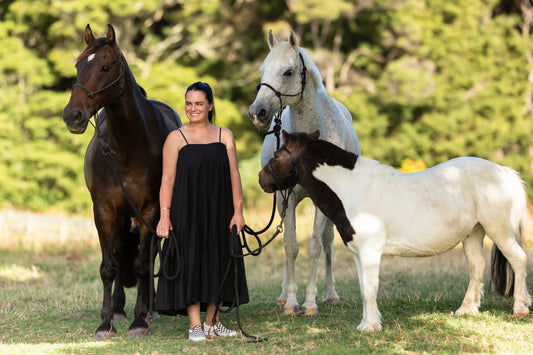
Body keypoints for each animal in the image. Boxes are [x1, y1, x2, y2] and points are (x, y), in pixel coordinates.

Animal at [62, 23, 181, 340]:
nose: (72, 115)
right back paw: (117, 308)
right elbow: (109, 266)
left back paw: (150, 309)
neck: (129, 148)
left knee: (149, 257)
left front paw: (139, 322)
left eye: (105, 67)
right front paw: (106, 323)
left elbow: (141, 265)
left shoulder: (150, 212)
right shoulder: (104, 211)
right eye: (78, 66)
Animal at [247, 29, 360, 316]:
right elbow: (291, 246)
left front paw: (310, 303)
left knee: (329, 241)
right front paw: (290, 302)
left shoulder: (323, 201)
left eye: (288, 72)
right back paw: (282, 295)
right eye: (262, 70)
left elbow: (315, 246)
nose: (257, 112)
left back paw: (331, 294)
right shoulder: (286, 198)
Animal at [258, 132, 528, 332]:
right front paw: (368, 324)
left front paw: (370, 327)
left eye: (276, 155)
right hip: (473, 234)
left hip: (499, 231)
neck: (354, 188)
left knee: (518, 259)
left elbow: (370, 289)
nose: (262, 179)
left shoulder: (370, 253)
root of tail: (504, 171)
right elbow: (365, 288)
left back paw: (520, 309)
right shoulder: (358, 254)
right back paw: (466, 310)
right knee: (477, 267)